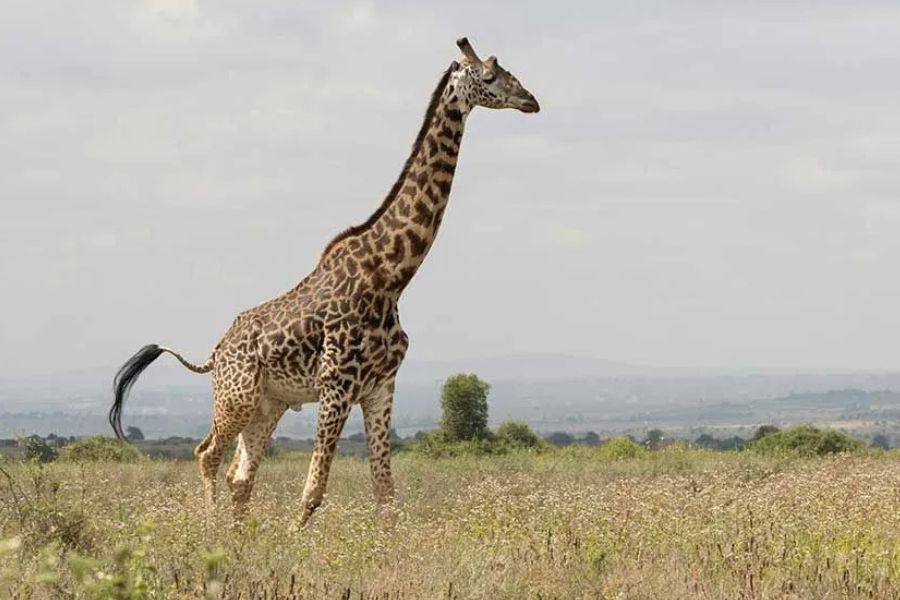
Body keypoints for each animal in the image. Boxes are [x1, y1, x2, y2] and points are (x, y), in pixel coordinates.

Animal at [109, 37, 540, 523]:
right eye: (489, 77)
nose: (531, 100)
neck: (391, 276)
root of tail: (215, 352)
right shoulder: (336, 385)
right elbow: (313, 492)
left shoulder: (380, 387)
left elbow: (386, 496)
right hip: (236, 397)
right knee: (206, 455)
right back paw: (212, 529)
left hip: (269, 404)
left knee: (240, 477)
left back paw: (237, 534)